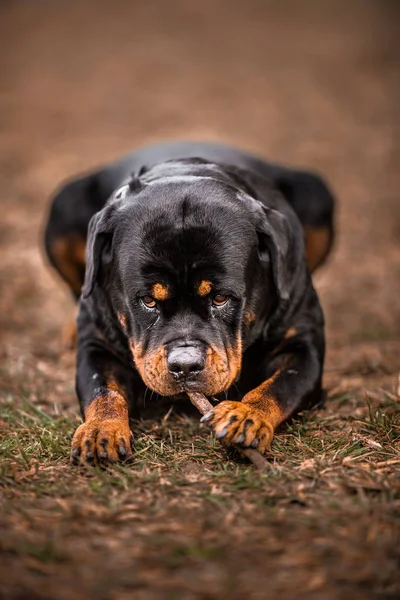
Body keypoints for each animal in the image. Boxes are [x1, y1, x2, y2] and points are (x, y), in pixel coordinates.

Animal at [43, 139, 334, 464]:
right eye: (148, 300)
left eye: (220, 297)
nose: (184, 365)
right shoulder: (97, 345)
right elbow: (103, 390)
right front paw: (100, 431)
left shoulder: (302, 345)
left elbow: (280, 386)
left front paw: (245, 415)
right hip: (64, 204)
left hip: (315, 190)